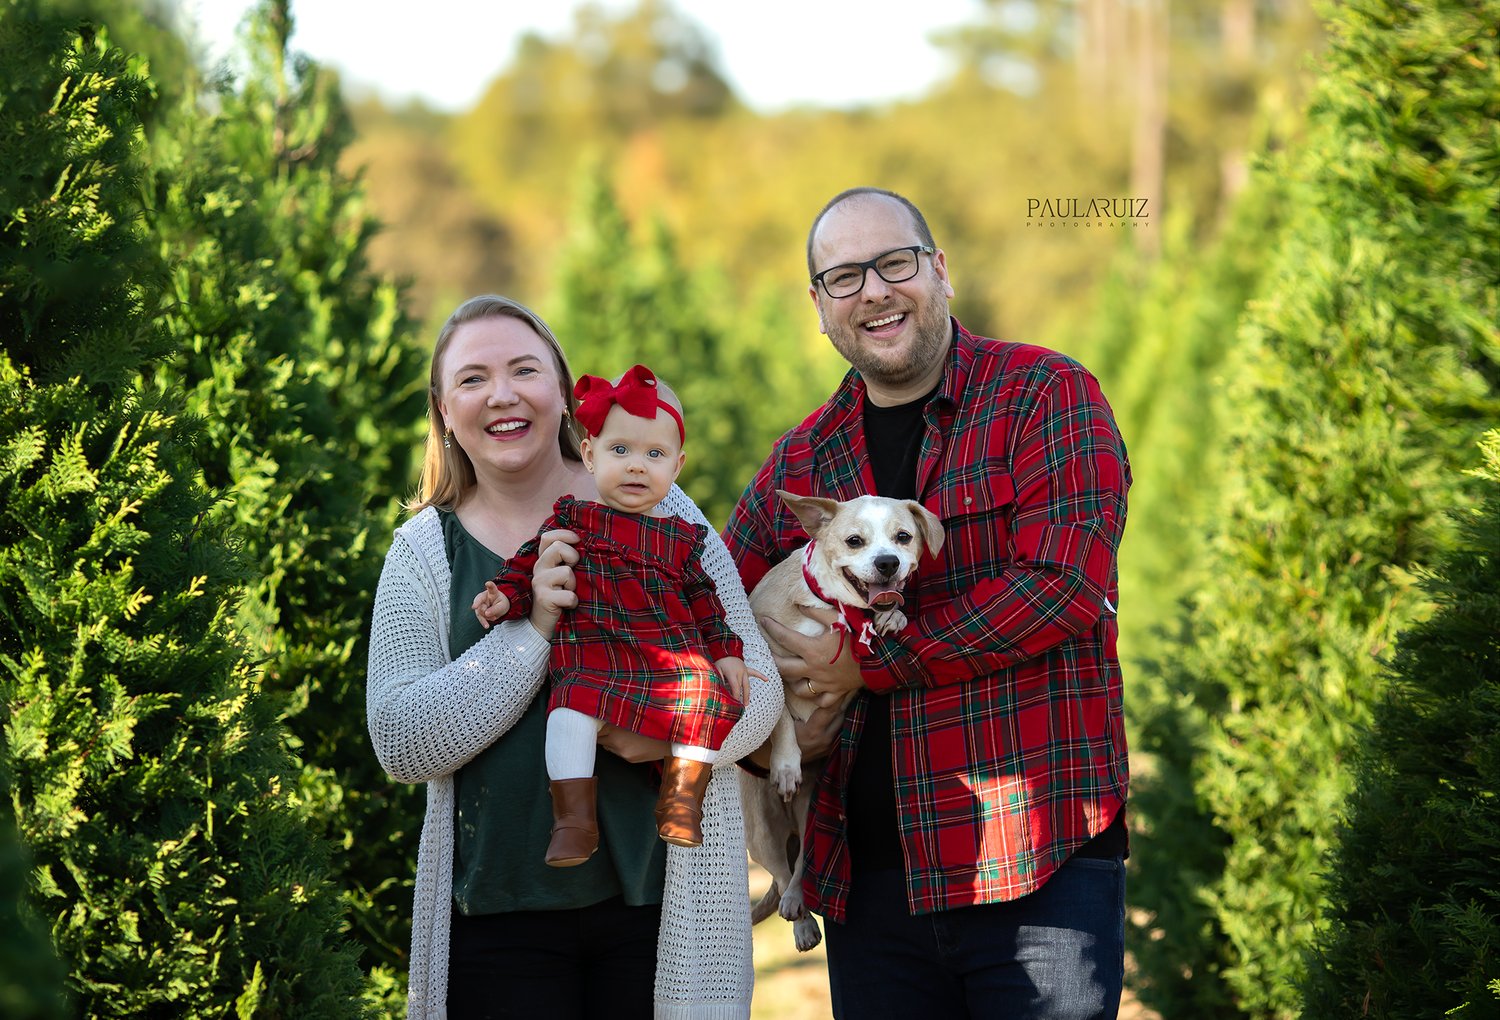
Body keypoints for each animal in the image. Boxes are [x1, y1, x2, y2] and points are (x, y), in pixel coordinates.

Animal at [735, 489, 936, 954]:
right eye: (854, 541)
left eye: (902, 537)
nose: (888, 563)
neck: (835, 605)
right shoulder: (767, 666)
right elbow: (783, 719)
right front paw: (786, 762)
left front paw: (892, 617)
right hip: (762, 834)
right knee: (780, 872)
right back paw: (801, 920)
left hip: (811, 815)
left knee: (799, 869)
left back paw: (800, 910)